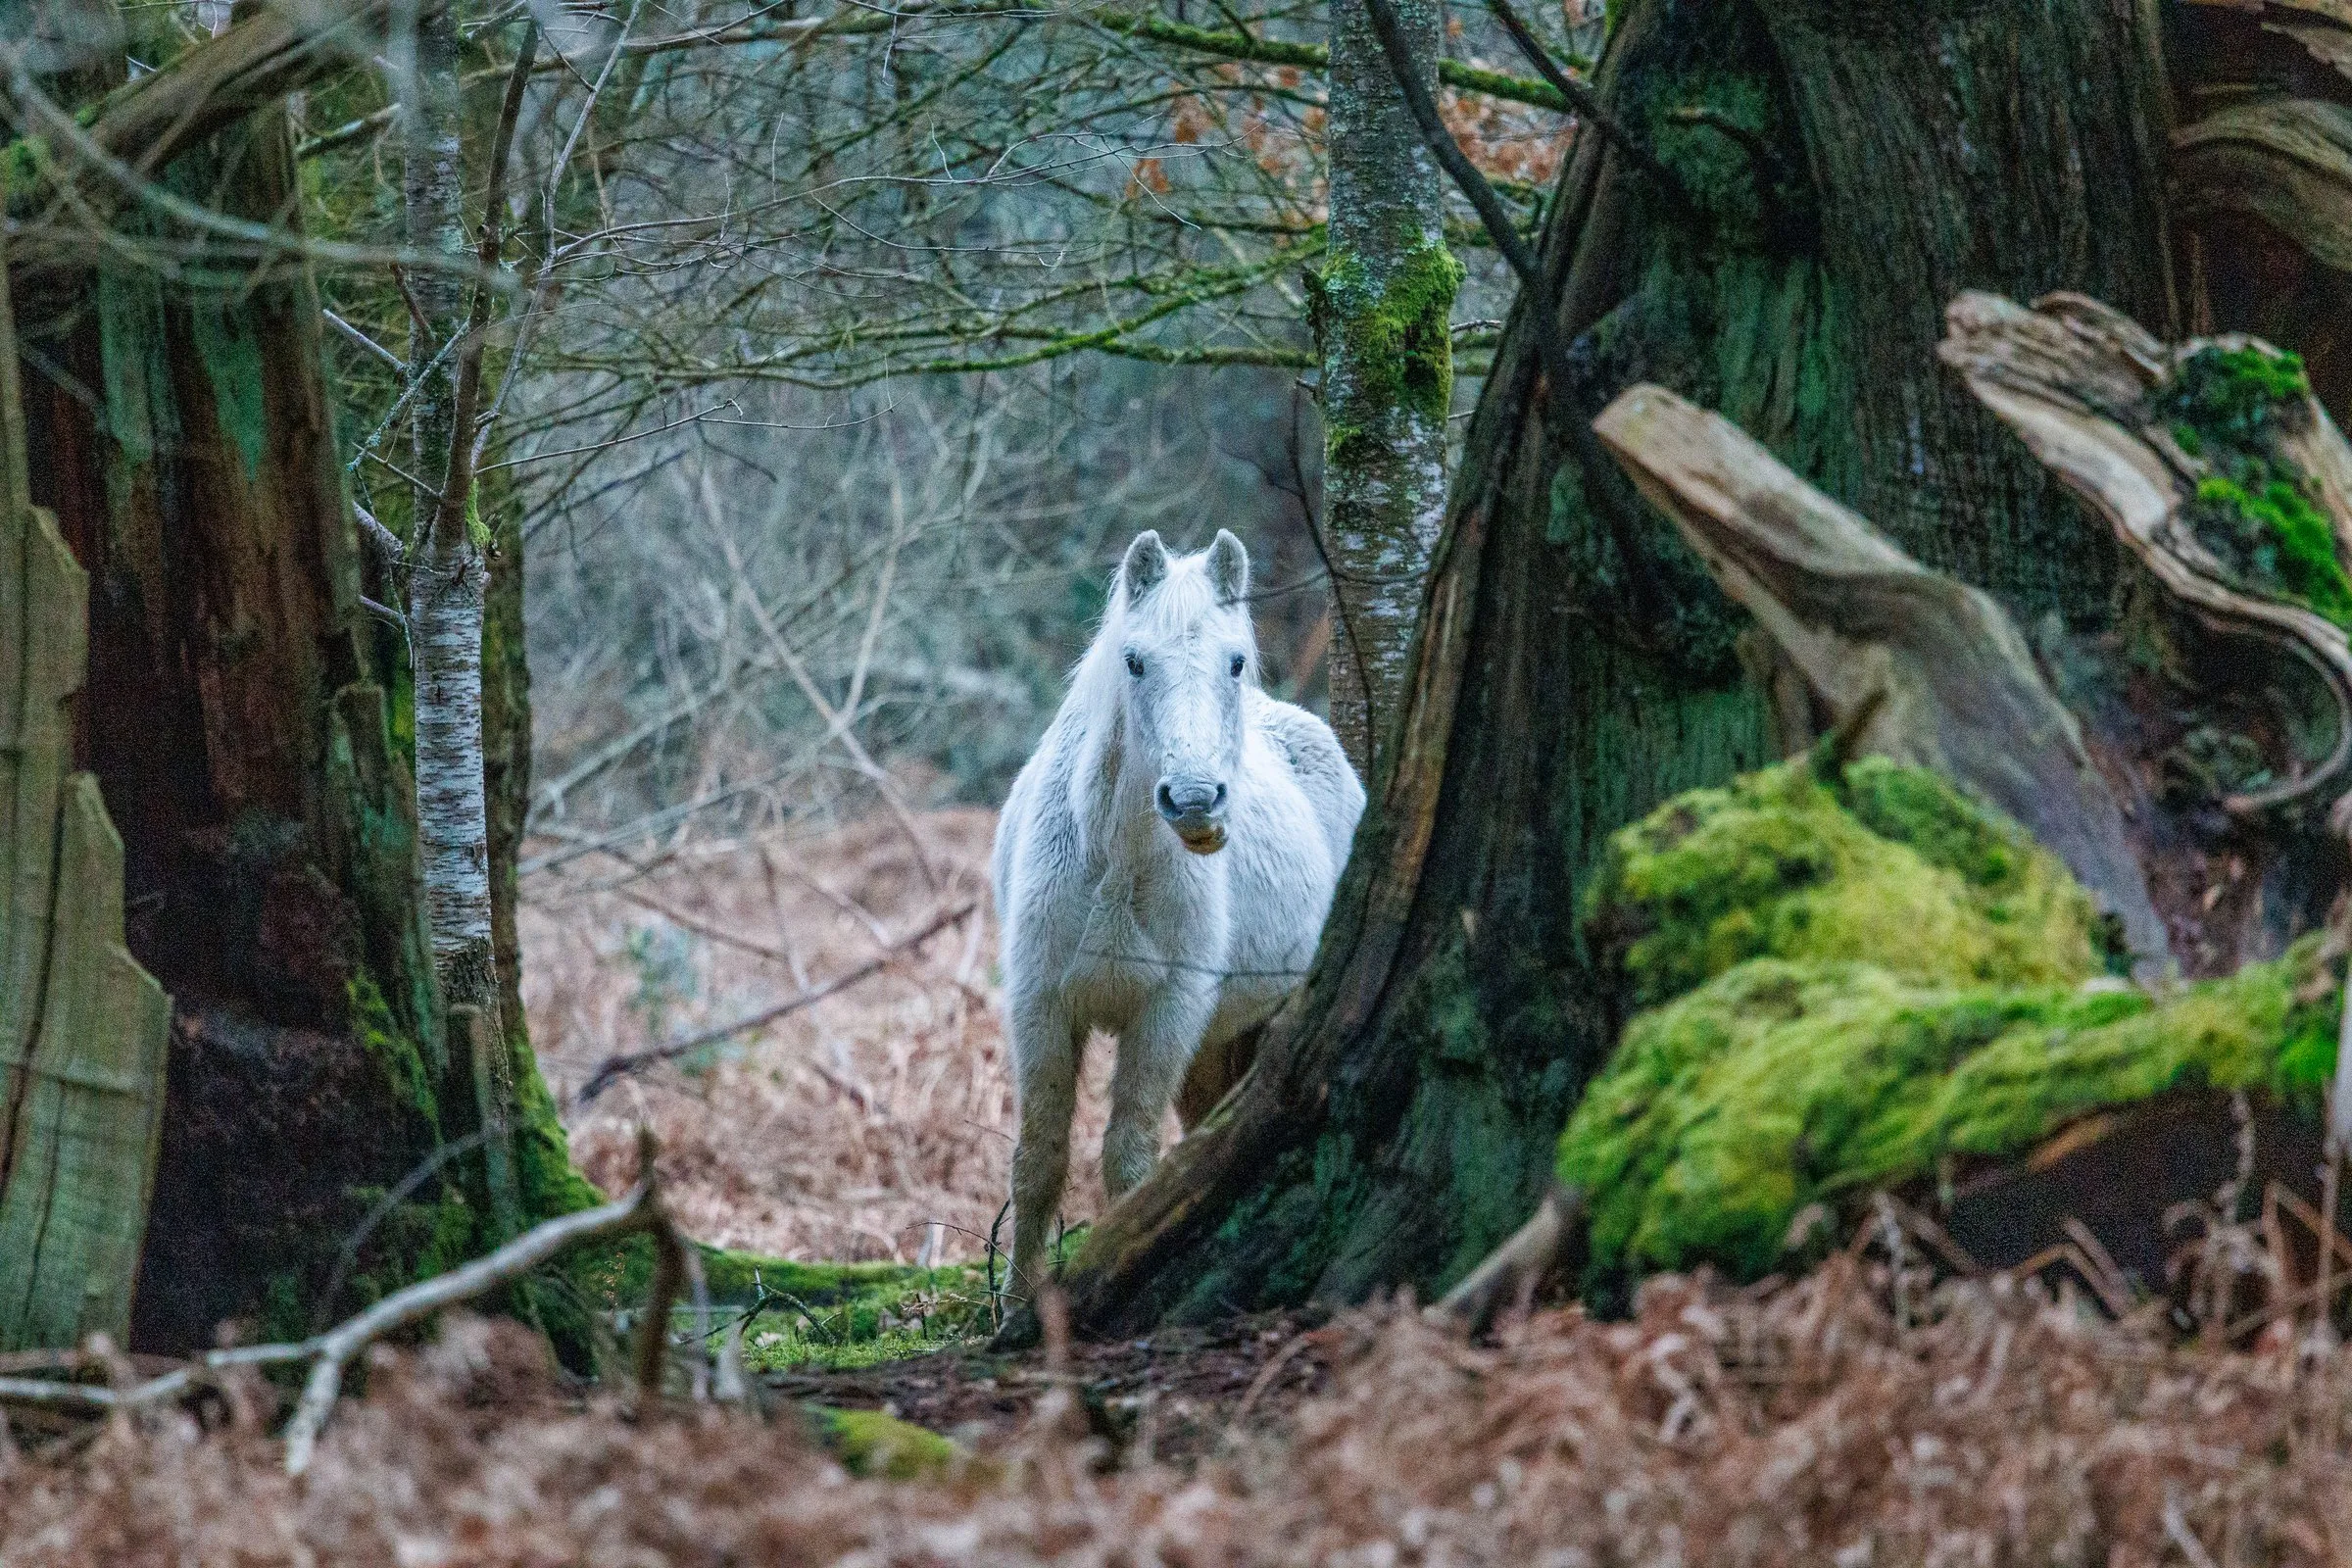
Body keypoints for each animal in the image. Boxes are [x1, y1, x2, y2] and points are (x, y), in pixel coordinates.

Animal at [991, 528, 1365, 1299]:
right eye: (1134, 661)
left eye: (1236, 661)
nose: (1194, 800)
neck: (1115, 864)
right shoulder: (1040, 1004)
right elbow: (1039, 1160)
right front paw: (1013, 1310)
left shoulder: (1168, 1011)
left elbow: (1131, 1160)